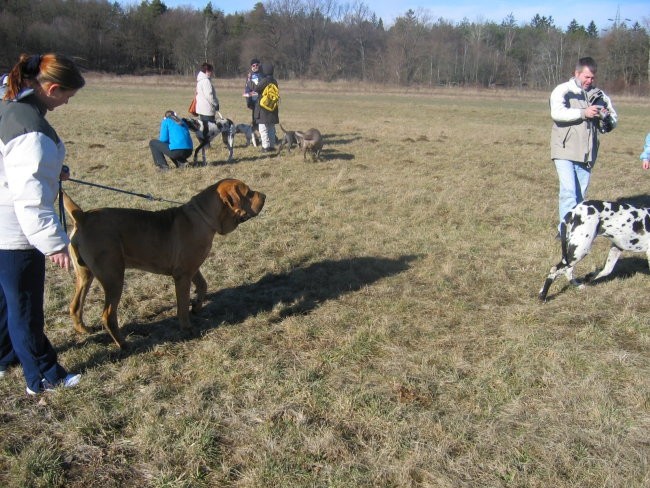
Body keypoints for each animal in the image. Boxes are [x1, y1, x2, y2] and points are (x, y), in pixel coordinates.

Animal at [61, 178, 264, 346]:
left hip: (85, 275)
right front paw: (187, 327)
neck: (203, 216)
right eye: (248, 193)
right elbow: (182, 305)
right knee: (108, 315)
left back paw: (84, 330)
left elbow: (203, 285)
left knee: (75, 306)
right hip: (114, 278)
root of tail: (82, 216)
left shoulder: (192, 268)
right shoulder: (182, 275)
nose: (264, 195)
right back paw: (124, 344)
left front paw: (197, 306)